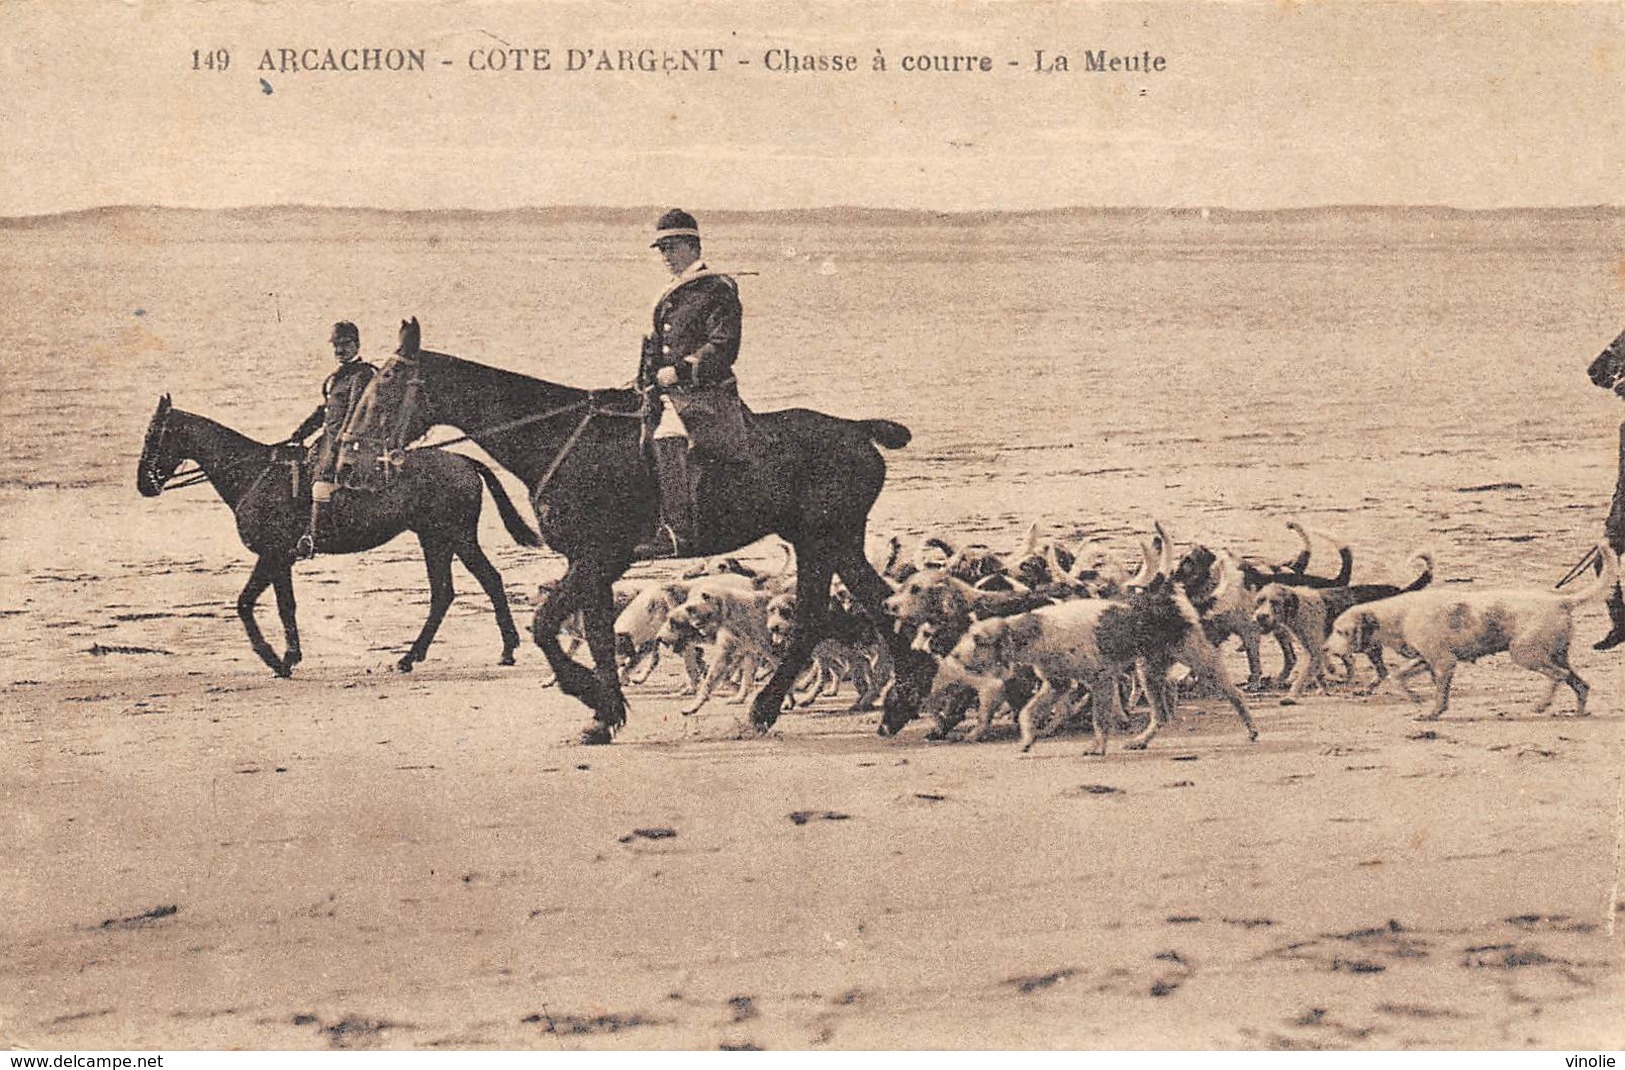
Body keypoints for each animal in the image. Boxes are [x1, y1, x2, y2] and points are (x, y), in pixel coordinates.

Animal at [137, 391, 542, 676]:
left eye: (154, 435)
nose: (143, 484)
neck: (254, 474)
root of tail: (463, 460)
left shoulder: (272, 555)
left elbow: (245, 603)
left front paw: (273, 658)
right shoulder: (281, 560)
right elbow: (284, 606)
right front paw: (290, 656)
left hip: (455, 537)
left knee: (486, 581)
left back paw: (502, 649)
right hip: (435, 540)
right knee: (448, 592)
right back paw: (415, 656)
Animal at [362, 312, 936, 738]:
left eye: (385, 383)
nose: (353, 457)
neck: (561, 436)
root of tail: (859, 430)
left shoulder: (599, 558)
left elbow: (545, 625)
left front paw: (586, 691)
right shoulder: (590, 563)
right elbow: (595, 634)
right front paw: (605, 712)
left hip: (827, 537)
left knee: (839, 612)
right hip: (827, 541)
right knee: (855, 607)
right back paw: (885, 701)